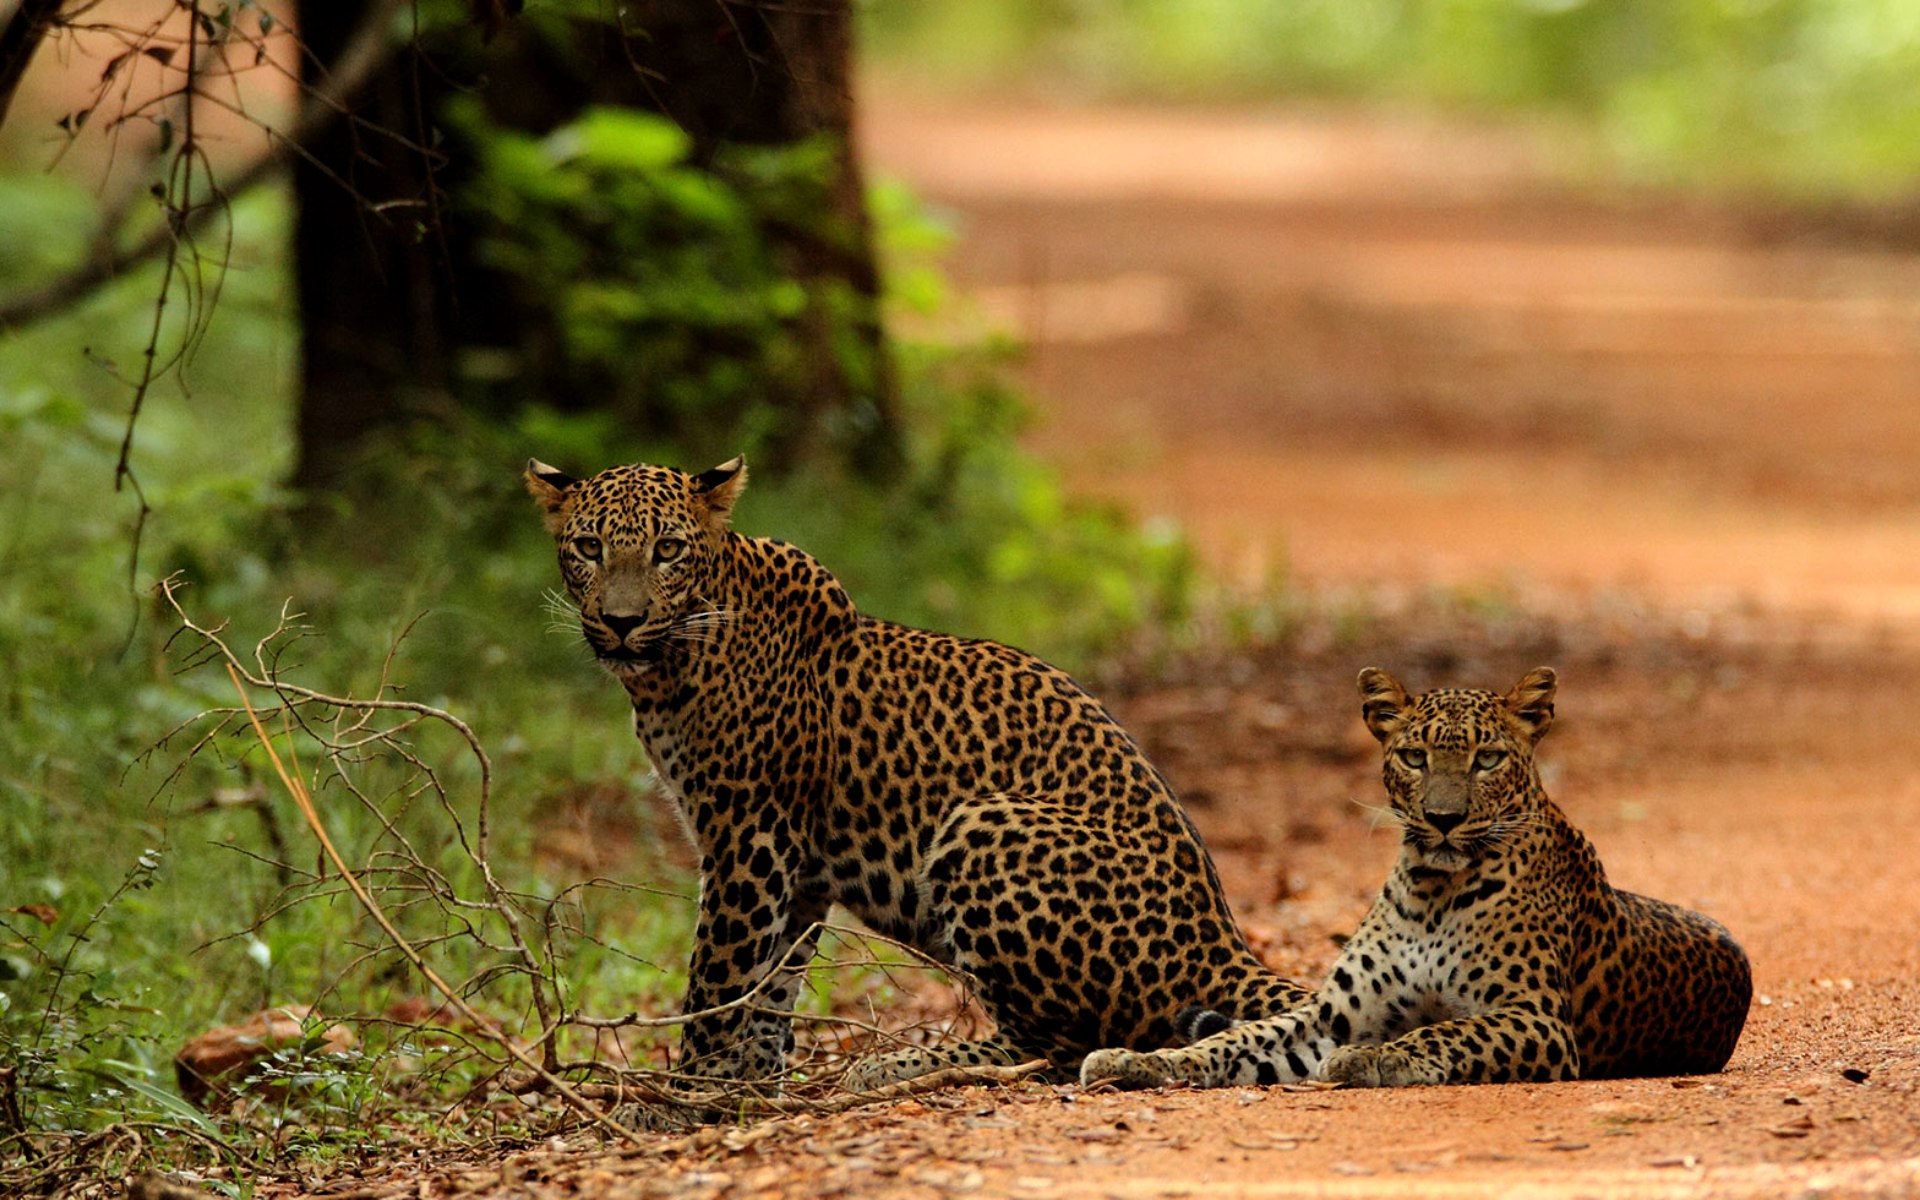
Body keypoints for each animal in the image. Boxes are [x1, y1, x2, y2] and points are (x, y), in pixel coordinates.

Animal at [522, 456, 1305, 1082]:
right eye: (588, 547)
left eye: (668, 549)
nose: (621, 621)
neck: (669, 669)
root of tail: (1220, 942)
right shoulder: (796, 869)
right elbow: (770, 986)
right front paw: (749, 1083)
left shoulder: (749, 840)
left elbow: (717, 980)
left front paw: (678, 1096)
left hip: (983, 824)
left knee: (1060, 1045)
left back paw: (902, 1063)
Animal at [1082, 668, 1758, 1090]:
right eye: (1414, 757)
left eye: (1487, 759)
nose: (1443, 819)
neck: (1433, 888)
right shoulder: (1329, 1016)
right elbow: (1233, 1042)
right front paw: (1137, 1062)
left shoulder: (1535, 1018)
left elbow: (1446, 1033)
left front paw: (1375, 1057)